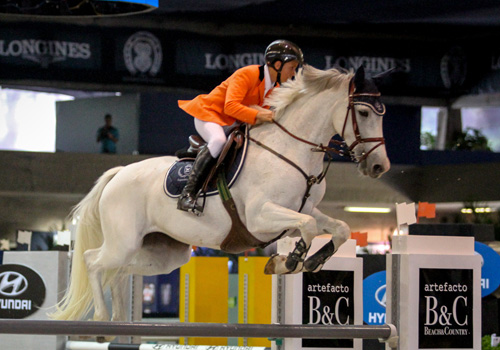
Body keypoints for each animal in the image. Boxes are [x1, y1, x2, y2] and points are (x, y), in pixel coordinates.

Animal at [50, 65, 390, 328]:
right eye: (362, 112)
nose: (379, 166)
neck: (293, 151)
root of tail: (119, 173)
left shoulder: (303, 212)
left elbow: (339, 228)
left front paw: (313, 260)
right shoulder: (260, 217)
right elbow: (306, 226)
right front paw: (288, 262)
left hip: (163, 254)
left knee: (118, 270)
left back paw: (118, 319)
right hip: (124, 242)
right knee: (93, 261)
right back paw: (101, 320)